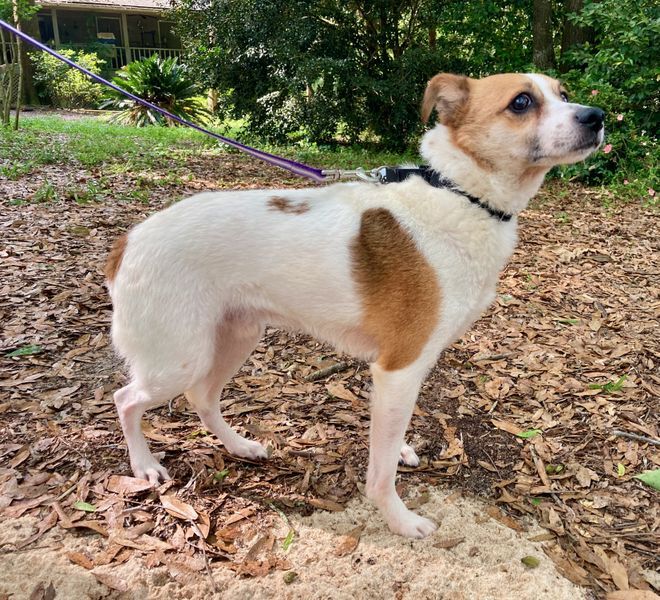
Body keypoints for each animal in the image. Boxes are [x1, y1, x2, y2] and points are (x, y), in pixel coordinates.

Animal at [107, 74, 604, 540]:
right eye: (521, 102)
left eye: (563, 94)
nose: (597, 116)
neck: (460, 194)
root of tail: (129, 240)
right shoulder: (400, 367)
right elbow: (380, 474)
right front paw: (400, 520)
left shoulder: (400, 376)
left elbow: (389, 437)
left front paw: (399, 452)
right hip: (178, 358)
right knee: (127, 399)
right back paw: (144, 466)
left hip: (235, 337)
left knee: (203, 398)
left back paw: (240, 447)